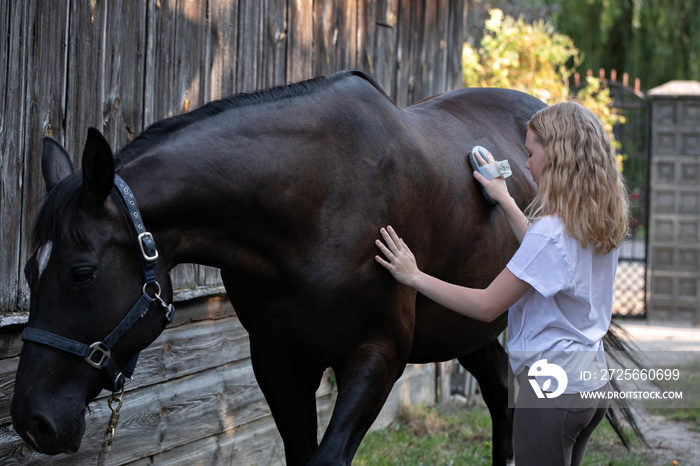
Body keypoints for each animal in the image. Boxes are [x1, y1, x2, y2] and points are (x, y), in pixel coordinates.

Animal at [12, 71, 548, 464]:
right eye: (29, 273)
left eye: (82, 273)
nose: (30, 420)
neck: (319, 201)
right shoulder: (278, 363)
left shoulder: (379, 356)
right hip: (467, 324)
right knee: (500, 391)